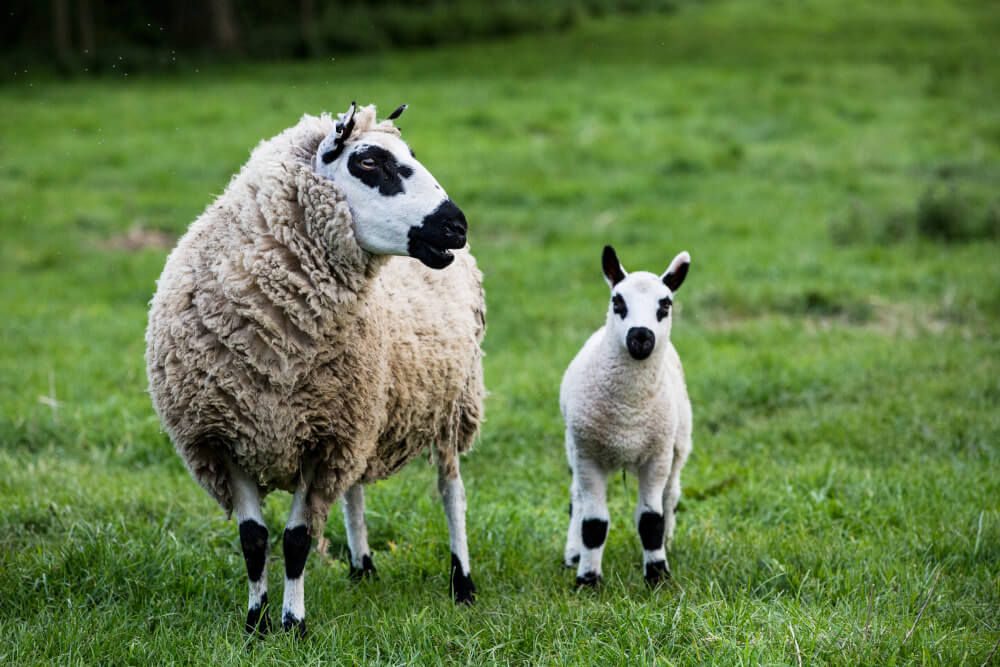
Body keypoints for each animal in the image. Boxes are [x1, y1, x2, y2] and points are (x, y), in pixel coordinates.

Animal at [144, 102, 485, 637]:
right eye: (368, 162)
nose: (455, 226)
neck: (275, 343)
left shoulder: (322, 441)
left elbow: (297, 540)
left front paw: (293, 624)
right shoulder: (226, 438)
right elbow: (254, 540)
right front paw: (255, 623)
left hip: (452, 402)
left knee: (452, 491)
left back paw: (462, 583)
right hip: (368, 409)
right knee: (355, 491)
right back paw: (362, 567)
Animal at [560, 245, 692, 587]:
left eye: (665, 305)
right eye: (617, 302)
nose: (641, 337)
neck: (628, 414)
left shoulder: (657, 456)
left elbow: (651, 521)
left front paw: (658, 576)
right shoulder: (588, 455)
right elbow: (594, 524)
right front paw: (587, 580)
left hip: (678, 444)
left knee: (671, 495)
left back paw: (669, 541)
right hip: (574, 445)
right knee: (577, 499)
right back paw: (573, 554)